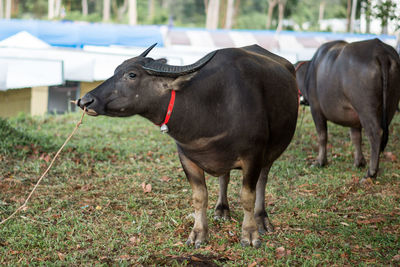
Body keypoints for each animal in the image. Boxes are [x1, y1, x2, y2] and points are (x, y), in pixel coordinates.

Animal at [76, 44, 298, 249]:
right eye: (115, 70)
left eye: (131, 74)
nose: (85, 100)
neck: (209, 106)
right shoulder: (187, 158)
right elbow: (199, 197)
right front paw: (198, 234)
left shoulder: (253, 156)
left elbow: (247, 196)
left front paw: (250, 234)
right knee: (224, 177)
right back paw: (222, 209)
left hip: (271, 152)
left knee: (262, 180)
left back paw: (262, 219)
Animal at [296, 38, 400, 181]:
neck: (309, 73)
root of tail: (381, 52)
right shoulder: (354, 119)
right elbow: (356, 138)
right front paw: (359, 162)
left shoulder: (316, 109)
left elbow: (322, 136)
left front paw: (320, 162)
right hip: (389, 106)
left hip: (365, 109)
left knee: (375, 134)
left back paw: (371, 173)